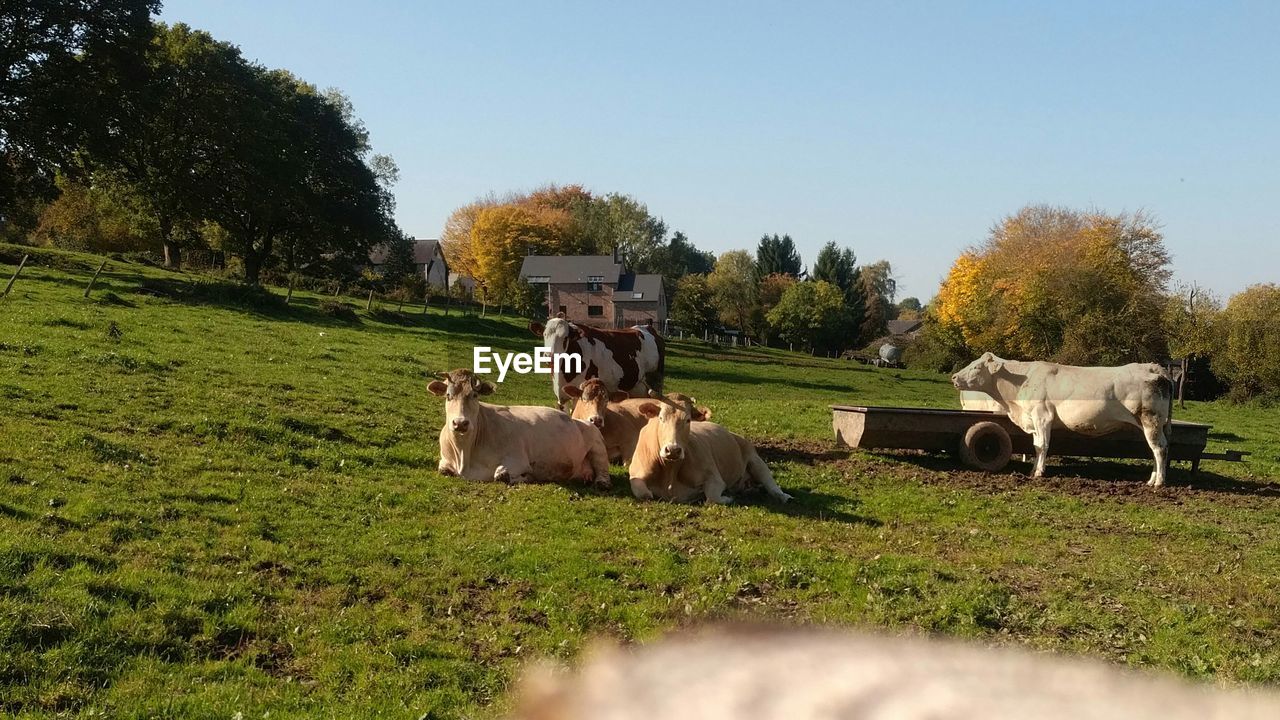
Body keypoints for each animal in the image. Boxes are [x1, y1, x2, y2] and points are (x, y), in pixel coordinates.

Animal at [427, 366, 611, 484]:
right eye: (448, 395)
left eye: (474, 395)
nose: (460, 423)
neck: (464, 454)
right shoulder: (445, 461)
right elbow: (443, 469)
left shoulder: (518, 459)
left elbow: (501, 475)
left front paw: (526, 477)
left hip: (597, 444)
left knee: (603, 469)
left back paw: (602, 483)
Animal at [529, 312, 670, 409]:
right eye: (545, 335)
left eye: (565, 337)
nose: (549, 355)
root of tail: (646, 327)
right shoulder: (562, 397)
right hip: (635, 388)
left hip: (656, 382)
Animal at [627, 389, 793, 502]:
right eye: (660, 418)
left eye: (688, 420)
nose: (673, 450)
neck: (670, 472)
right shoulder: (635, 474)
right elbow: (645, 494)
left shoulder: (714, 477)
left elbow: (712, 498)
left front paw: (727, 498)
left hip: (756, 460)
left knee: (771, 484)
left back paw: (784, 496)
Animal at [947, 351, 1172, 484]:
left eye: (976, 367)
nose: (954, 377)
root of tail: (1153, 367)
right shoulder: (1033, 419)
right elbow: (1036, 446)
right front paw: (1032, 470)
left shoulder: (1042, 416)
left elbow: (1042, 445)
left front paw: (1039, 472)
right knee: (1156, 449)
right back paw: (1152, 478)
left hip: (1151, 420)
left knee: (1159, 449)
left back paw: (1159, 482)